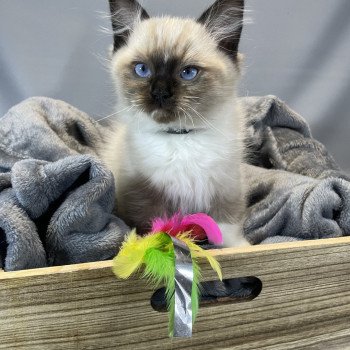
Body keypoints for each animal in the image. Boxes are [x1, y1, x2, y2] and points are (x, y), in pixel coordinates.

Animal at [102, 0, 249, 246]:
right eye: (142, 69)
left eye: (188, 73)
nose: (160, 93)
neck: (181, 136)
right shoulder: (144, 193)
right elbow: (155, 228)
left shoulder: (225, 186)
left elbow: (227, 230)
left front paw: (239, 248)